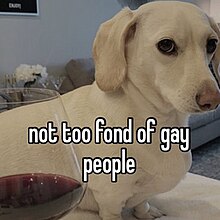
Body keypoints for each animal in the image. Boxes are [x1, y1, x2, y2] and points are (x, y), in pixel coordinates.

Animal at [1, 0, 220, 219]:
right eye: (166, 45)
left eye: (212, 44)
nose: (213, 100)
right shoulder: (110, 199)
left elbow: (142, 202)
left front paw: (146, 212)